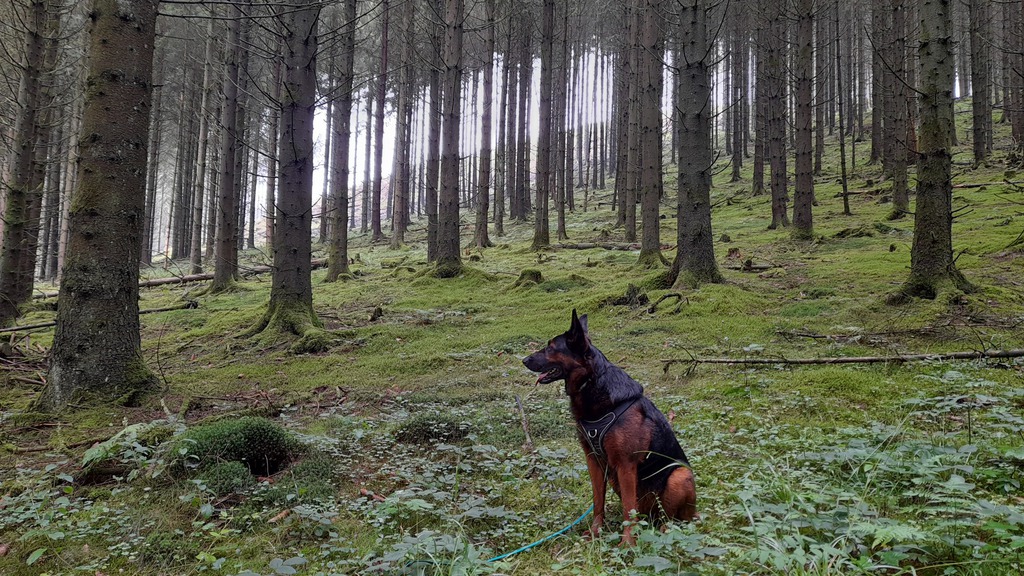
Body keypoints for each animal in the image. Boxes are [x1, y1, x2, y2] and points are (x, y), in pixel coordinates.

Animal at [523, 310, 696, 546]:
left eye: (551, 347)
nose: (523, 360)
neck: (591, 382)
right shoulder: (594, 461)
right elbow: (598, 501)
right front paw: (596, 532)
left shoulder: (626, 465)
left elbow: (628, 511)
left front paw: (628, 544)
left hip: (679, 475)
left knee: (674, 520)